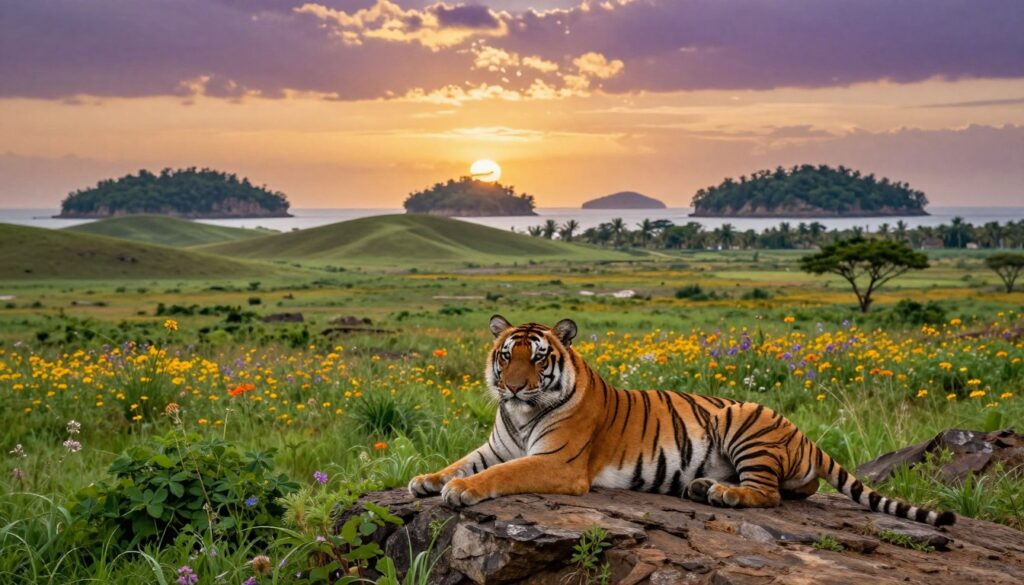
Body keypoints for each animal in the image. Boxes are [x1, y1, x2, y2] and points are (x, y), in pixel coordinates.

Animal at [408, 315, 956, 527]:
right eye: (506, 355)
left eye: (538, 358)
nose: (515, 387)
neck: (521, 415)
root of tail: (803, 435)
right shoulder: (496, 446)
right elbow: (461, 461)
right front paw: (426, 480)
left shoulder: (558, 462)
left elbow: (499, 475)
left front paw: (460, 491)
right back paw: (702, 488)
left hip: (743, 420)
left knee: (770, 494)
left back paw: (723, 494)